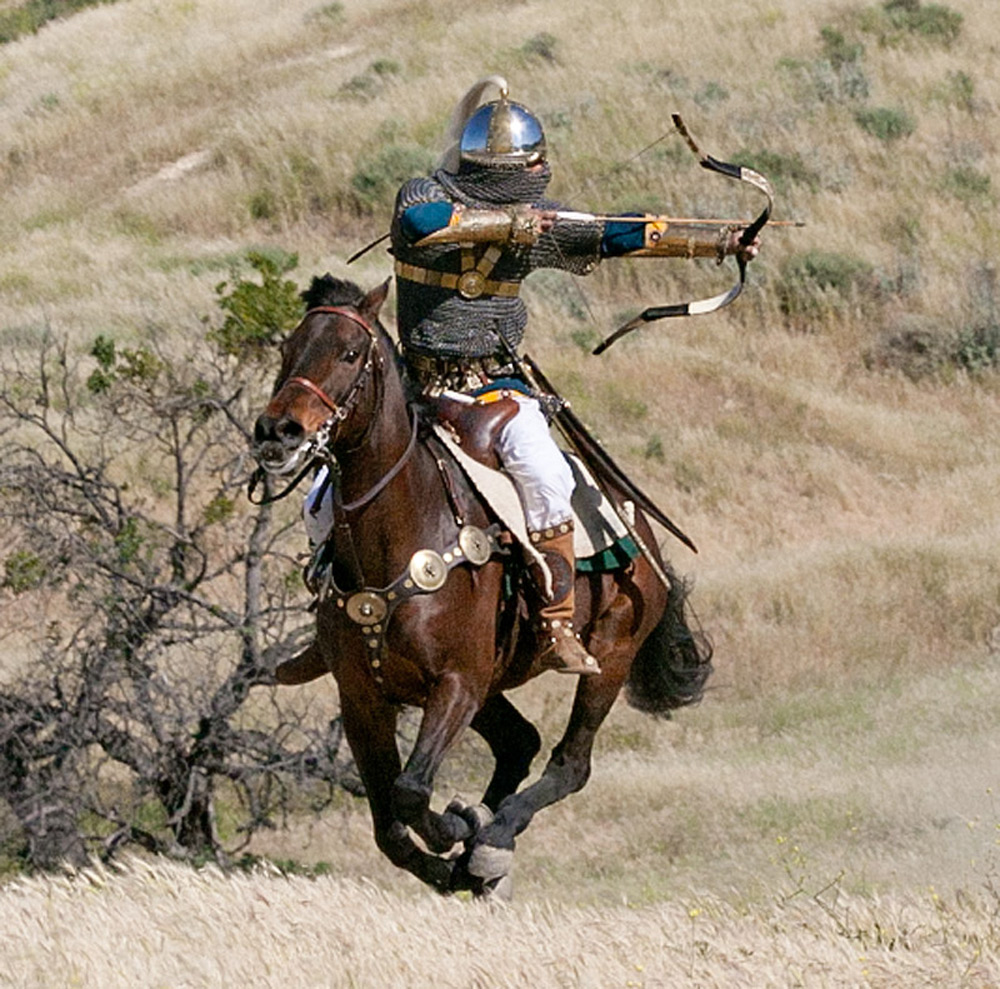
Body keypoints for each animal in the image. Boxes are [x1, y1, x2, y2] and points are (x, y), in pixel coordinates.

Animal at [250, 274, 712, 896]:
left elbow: (411, 792)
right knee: (521, 745)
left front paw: (457, 829)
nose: (277, 431)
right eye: (287, 350)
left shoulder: (456, 683)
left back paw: (492, 838)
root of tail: (638, 528)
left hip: (609, 655)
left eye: (348, 353)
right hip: (496, 683)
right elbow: (389, 828)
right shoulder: (364, 699)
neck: (398, 535)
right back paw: (482, 851)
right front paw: (452, 862)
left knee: (570, 762)